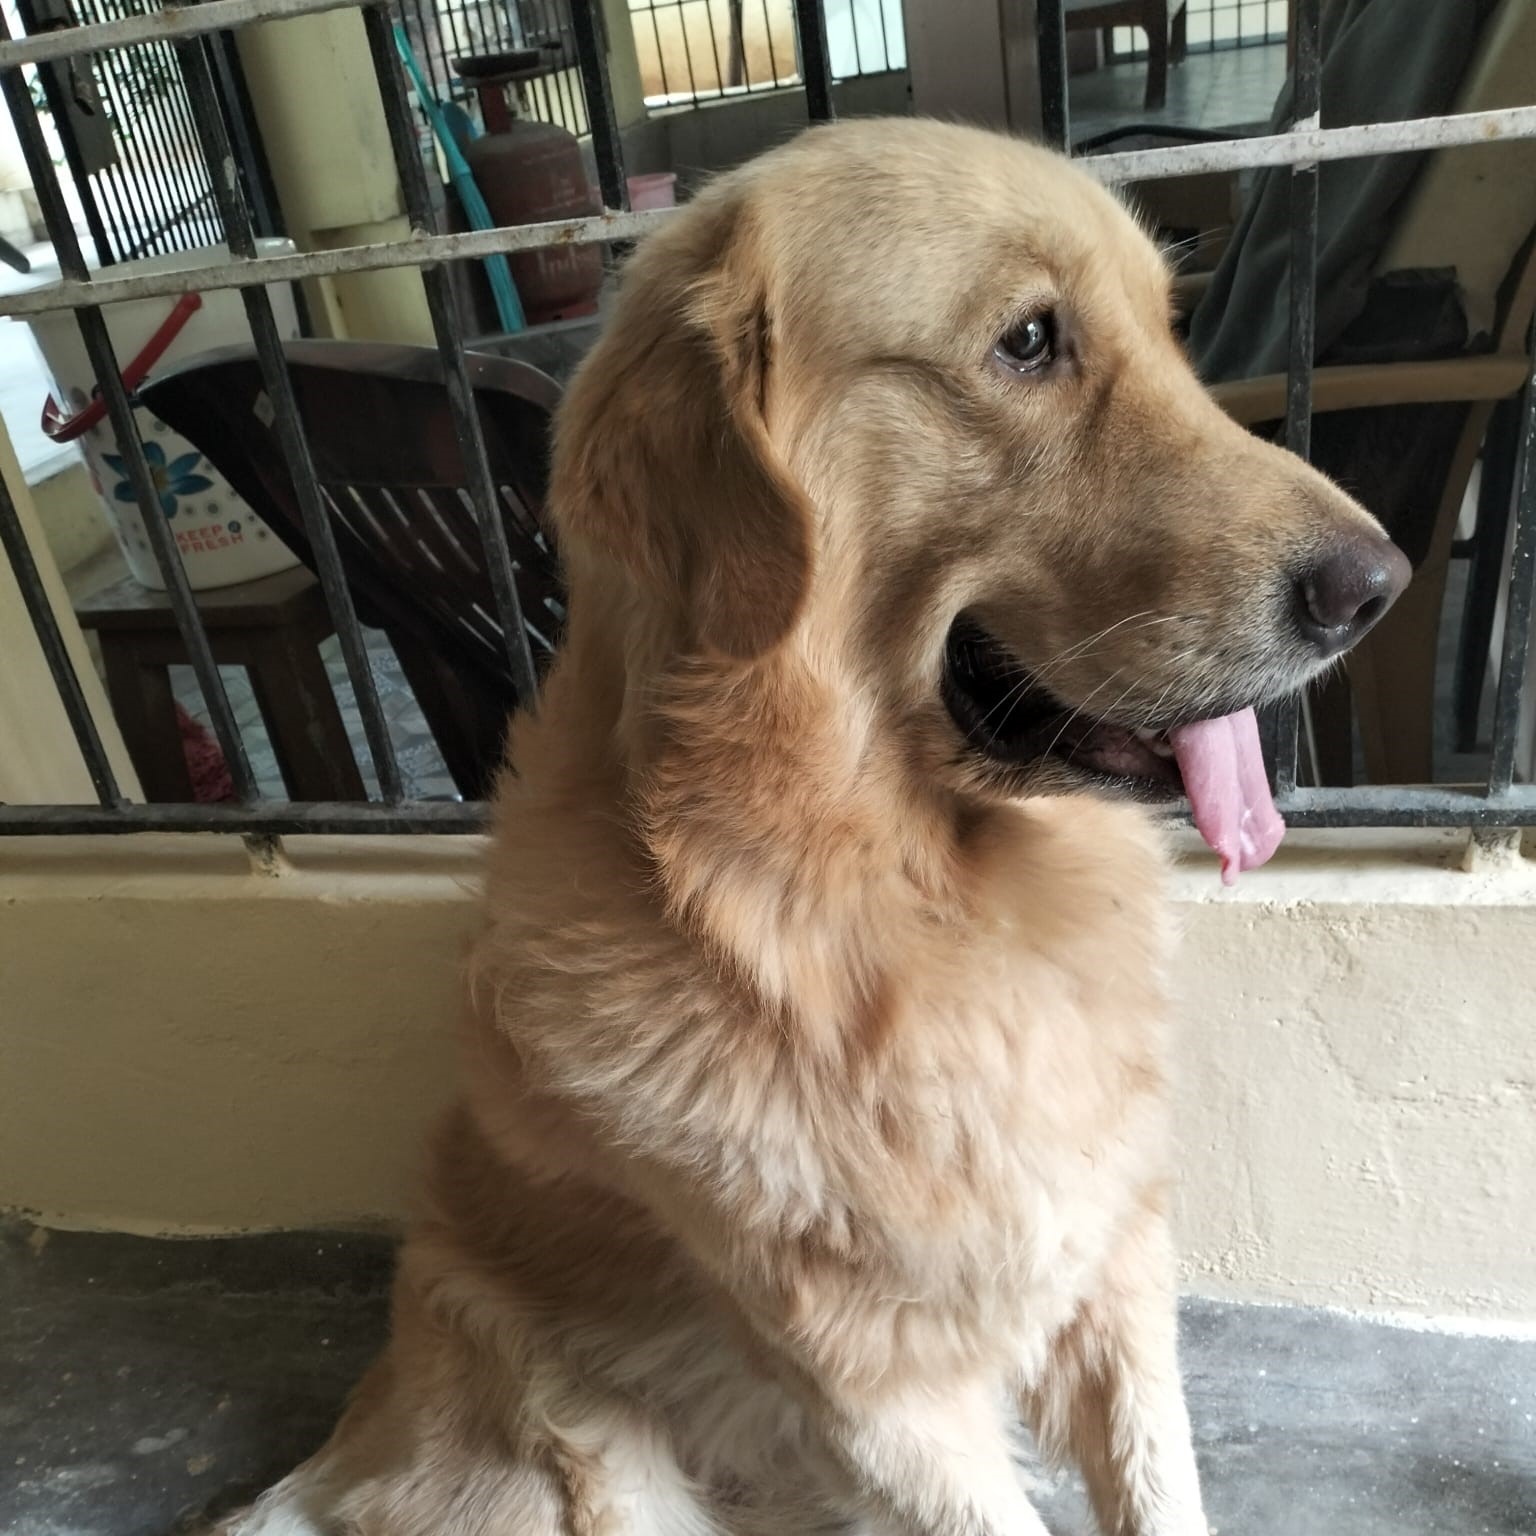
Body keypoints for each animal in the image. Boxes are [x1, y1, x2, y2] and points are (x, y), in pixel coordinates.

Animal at [220, 118, 1408, 1535]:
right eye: (1028, 342)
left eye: (1171, 329)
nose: (1380, 586)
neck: (902, 902)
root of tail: (354, 1452)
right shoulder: (883, 1394)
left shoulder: (1111, 1270)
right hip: (593, 1472)